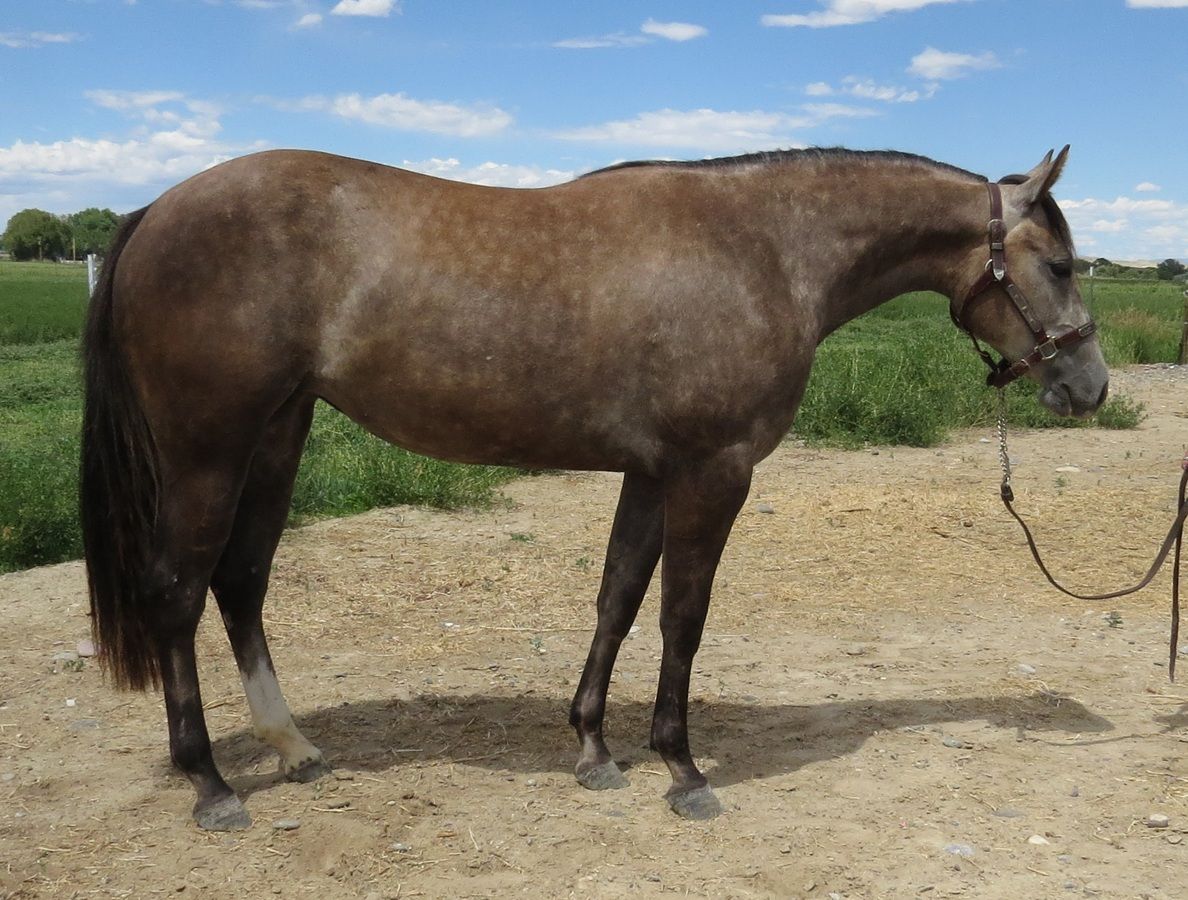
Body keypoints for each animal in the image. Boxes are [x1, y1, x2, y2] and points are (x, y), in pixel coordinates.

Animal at [81, 145, 1108, 830]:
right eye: (1059, 265)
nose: (1089, 387)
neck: (766, 248)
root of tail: (155, 209)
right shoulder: (713, 472)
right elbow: (682, 617)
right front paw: (682, 768)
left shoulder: (651, 473)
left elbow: (617, 599)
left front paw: (593, 750)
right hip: (209, 450)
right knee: (177, 591)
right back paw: (211, 784)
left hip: (276, 438)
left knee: (240, 581)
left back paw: (291, 748)